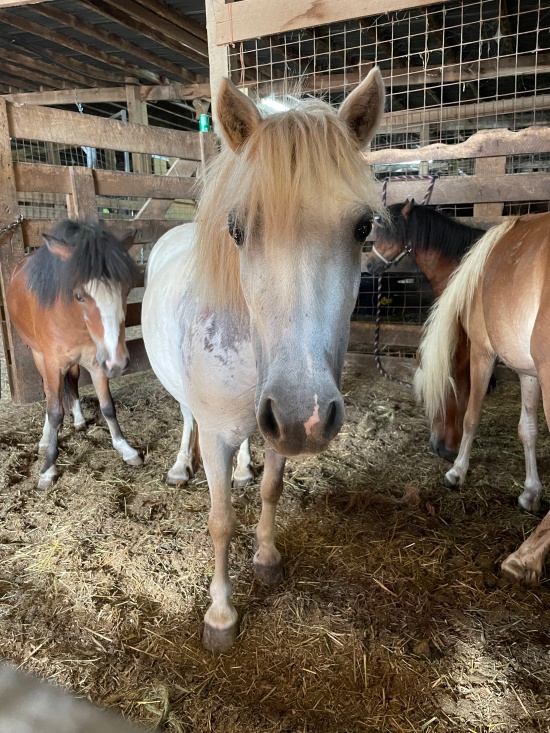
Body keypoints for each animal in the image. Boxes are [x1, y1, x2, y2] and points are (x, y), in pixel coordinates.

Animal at [7, 219, 142, 491]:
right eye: (79, 295)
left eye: (125, 292)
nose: (118, 362)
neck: (72, 319)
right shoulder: (52, 364)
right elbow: (55, 411)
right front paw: (48, 468)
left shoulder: (98, 363)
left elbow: (107, 407)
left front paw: (125, 448)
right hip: (39, 357)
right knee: (50, 396)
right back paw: (45, 438)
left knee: (73, 382)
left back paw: (78, 419)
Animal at [142, 68, 386, 652]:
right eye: (237, 231)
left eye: (363, 228)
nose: (305, 415)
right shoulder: (218, 434)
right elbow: (221, 520)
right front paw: (220, 615)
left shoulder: (279, 426)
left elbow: (273, 490)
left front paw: (268, 558)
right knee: (185, 417)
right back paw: (181, 467)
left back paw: (245, 467)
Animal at [414, 212, 550, 584]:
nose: (437, 448)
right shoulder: (529, 372)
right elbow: (527, 430)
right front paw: (530, 493)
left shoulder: (483, 353)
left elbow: (472, 417)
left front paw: (457, 472)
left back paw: (525, 557)